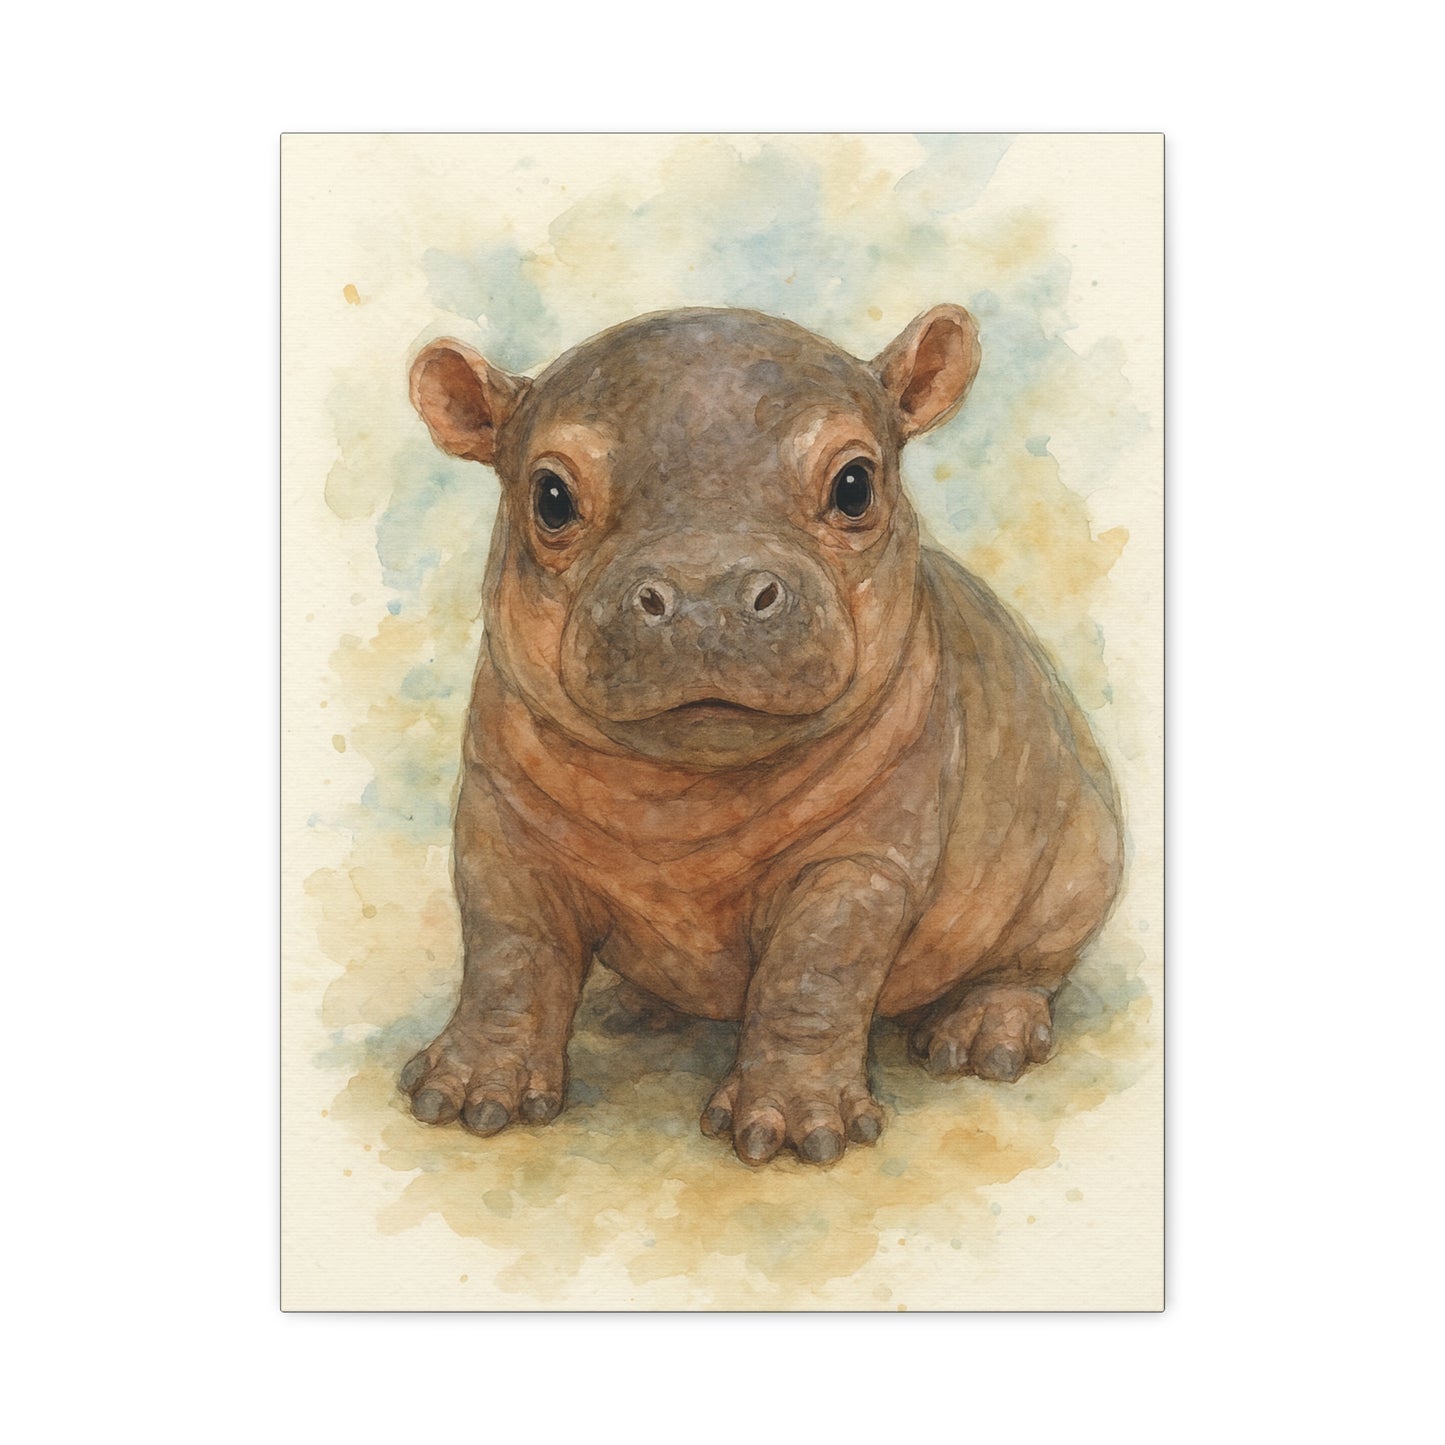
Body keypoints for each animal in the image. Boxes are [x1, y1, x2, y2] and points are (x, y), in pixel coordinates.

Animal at [398, 304, 1122, 1166]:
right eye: (550, 496)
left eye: (855, 484)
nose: (706, 591)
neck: (678, 796)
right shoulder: (500, 829)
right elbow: (508, 953)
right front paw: (463, 1098)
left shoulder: (859, 860)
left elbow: (813, 974)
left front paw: (794, 1134)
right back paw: (636, 1009)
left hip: (1077, 861)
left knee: (1027, 965)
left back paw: (980, 1039)